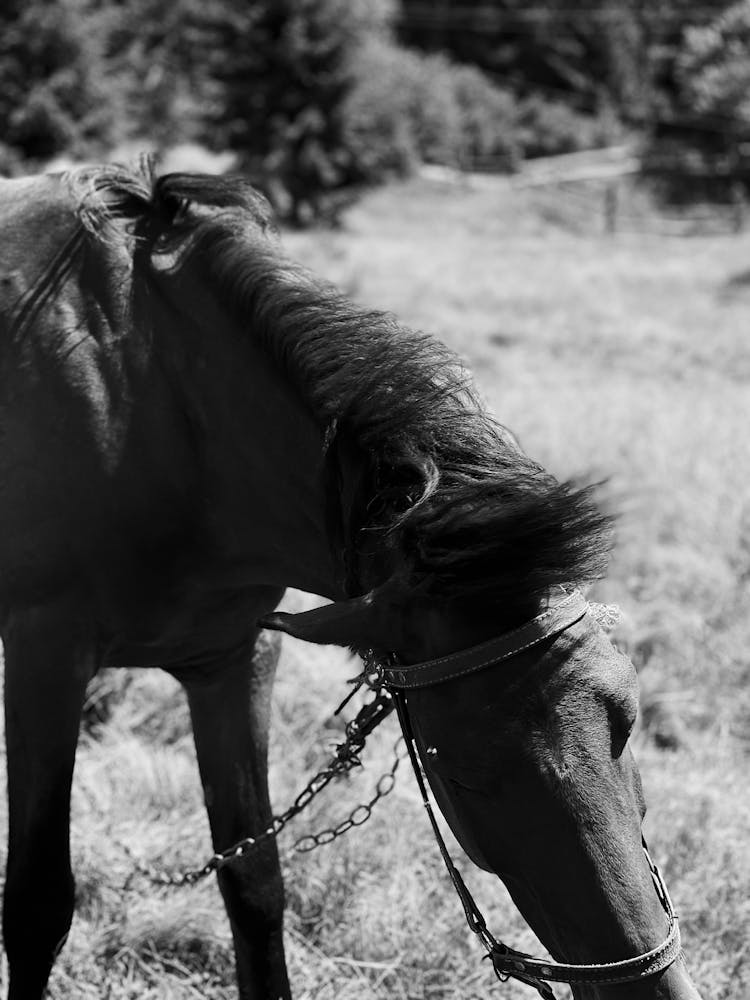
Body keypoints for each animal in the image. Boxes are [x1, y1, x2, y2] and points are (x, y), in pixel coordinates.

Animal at [0, 166, 704, 1000]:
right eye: (462, 776)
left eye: (626, 722)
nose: (647, 986)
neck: (154, 401)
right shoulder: (45, 663)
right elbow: (37, 905)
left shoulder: (234, 663)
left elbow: (254, 883)